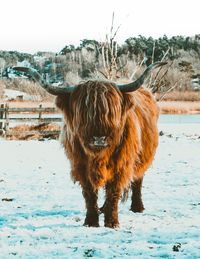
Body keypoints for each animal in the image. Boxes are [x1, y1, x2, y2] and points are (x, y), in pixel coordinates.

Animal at [12, 63, 166, 230]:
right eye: (84, 114)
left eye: (111, 112)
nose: (99, 138)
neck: (99, 156)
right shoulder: (80, 166)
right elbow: (89, 193)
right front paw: (91, 221)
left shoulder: (121, 165)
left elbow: (113, 191)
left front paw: (112, 222)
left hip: (142, 157)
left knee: (138, 180)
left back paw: (137, 207)